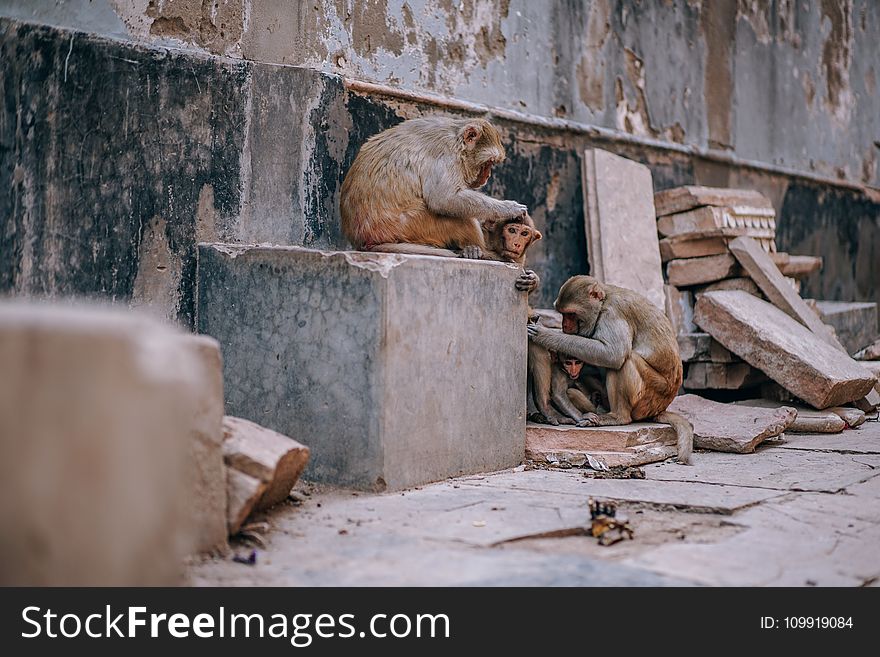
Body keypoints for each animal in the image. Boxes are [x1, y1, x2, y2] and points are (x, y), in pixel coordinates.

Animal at [340, 116, 524, 260]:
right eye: (488, 163)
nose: (487, 177)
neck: (457, 139)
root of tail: (364, 240)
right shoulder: (445, 155)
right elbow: (444, 199)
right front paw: (509, 208)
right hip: (412, 224)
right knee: (460, 217)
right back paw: (477, 251)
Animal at [528, 274, 696, 464]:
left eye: (570, 314)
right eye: (562, 314)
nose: (565, 326)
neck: (603, 302)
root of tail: (662, 407)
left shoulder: (612, 314)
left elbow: (613, 354)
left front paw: (546, 335)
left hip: (652, 396)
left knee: (625, 361)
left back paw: (617, 417)